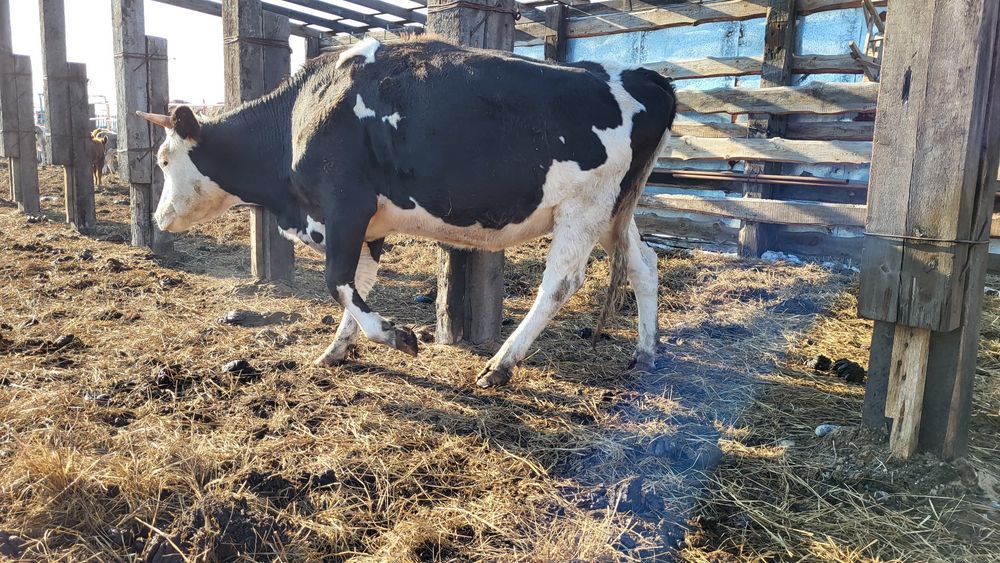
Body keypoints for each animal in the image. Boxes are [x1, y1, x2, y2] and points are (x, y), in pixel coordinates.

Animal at [137, 37, 676, 387]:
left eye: (163, 159)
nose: (160, 219)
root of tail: (640, 76)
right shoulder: (367, 222)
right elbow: (358, 282)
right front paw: (336, 350)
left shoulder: (346, 203)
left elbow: (337, 281)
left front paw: (396, 337)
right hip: (615, 211)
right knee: (643, 264)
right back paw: (646, 354)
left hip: (583, 207)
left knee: (562, 282)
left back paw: (500, 365)